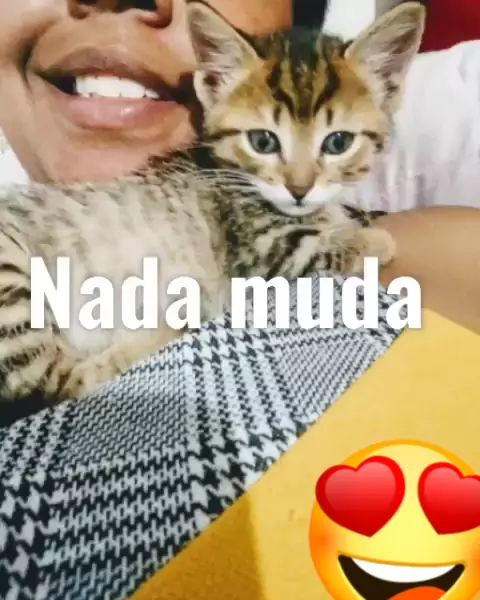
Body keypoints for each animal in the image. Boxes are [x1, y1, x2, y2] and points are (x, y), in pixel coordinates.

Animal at [0, 1, 425, 406]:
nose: (299, 189)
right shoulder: (264, 254)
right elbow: (321, 247)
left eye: (338, 142)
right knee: (56, 383)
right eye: (263, 141)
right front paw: (372, 240)